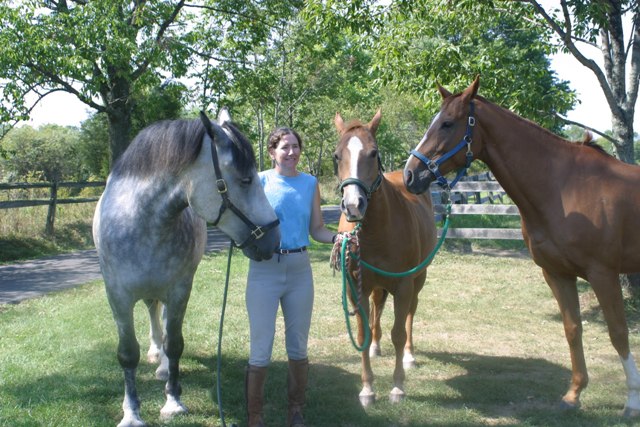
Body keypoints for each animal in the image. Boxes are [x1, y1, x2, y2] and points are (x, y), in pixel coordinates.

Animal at [92, 110, 280, 427]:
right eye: (245, 180)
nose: (273, 239)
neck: (140, 222)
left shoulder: (180, 290)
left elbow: (175, 344)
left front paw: (173, 401)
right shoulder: (117, 296)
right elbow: (128, 354)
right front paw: (131, 413)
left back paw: (163, 367)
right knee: (153, 314)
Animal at [333, 110, 437, 406]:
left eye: (373, 153)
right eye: (337, 155)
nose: (354, 205)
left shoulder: (403, 285)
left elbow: (398, 334)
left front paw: (398, 387)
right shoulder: (355, 287)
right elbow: (362, 335)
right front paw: (367, 389)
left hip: (418, 280)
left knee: (411, 312)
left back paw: (410, 356)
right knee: (377, 307)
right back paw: (378, 347)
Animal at [403, 76, 640, 416]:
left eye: (447, 123)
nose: (410, 174)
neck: (563, 186)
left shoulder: (603, 274)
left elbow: (619, 333)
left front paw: (632, 401)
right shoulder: (557, 273)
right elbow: (572, 329)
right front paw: (573, 394)